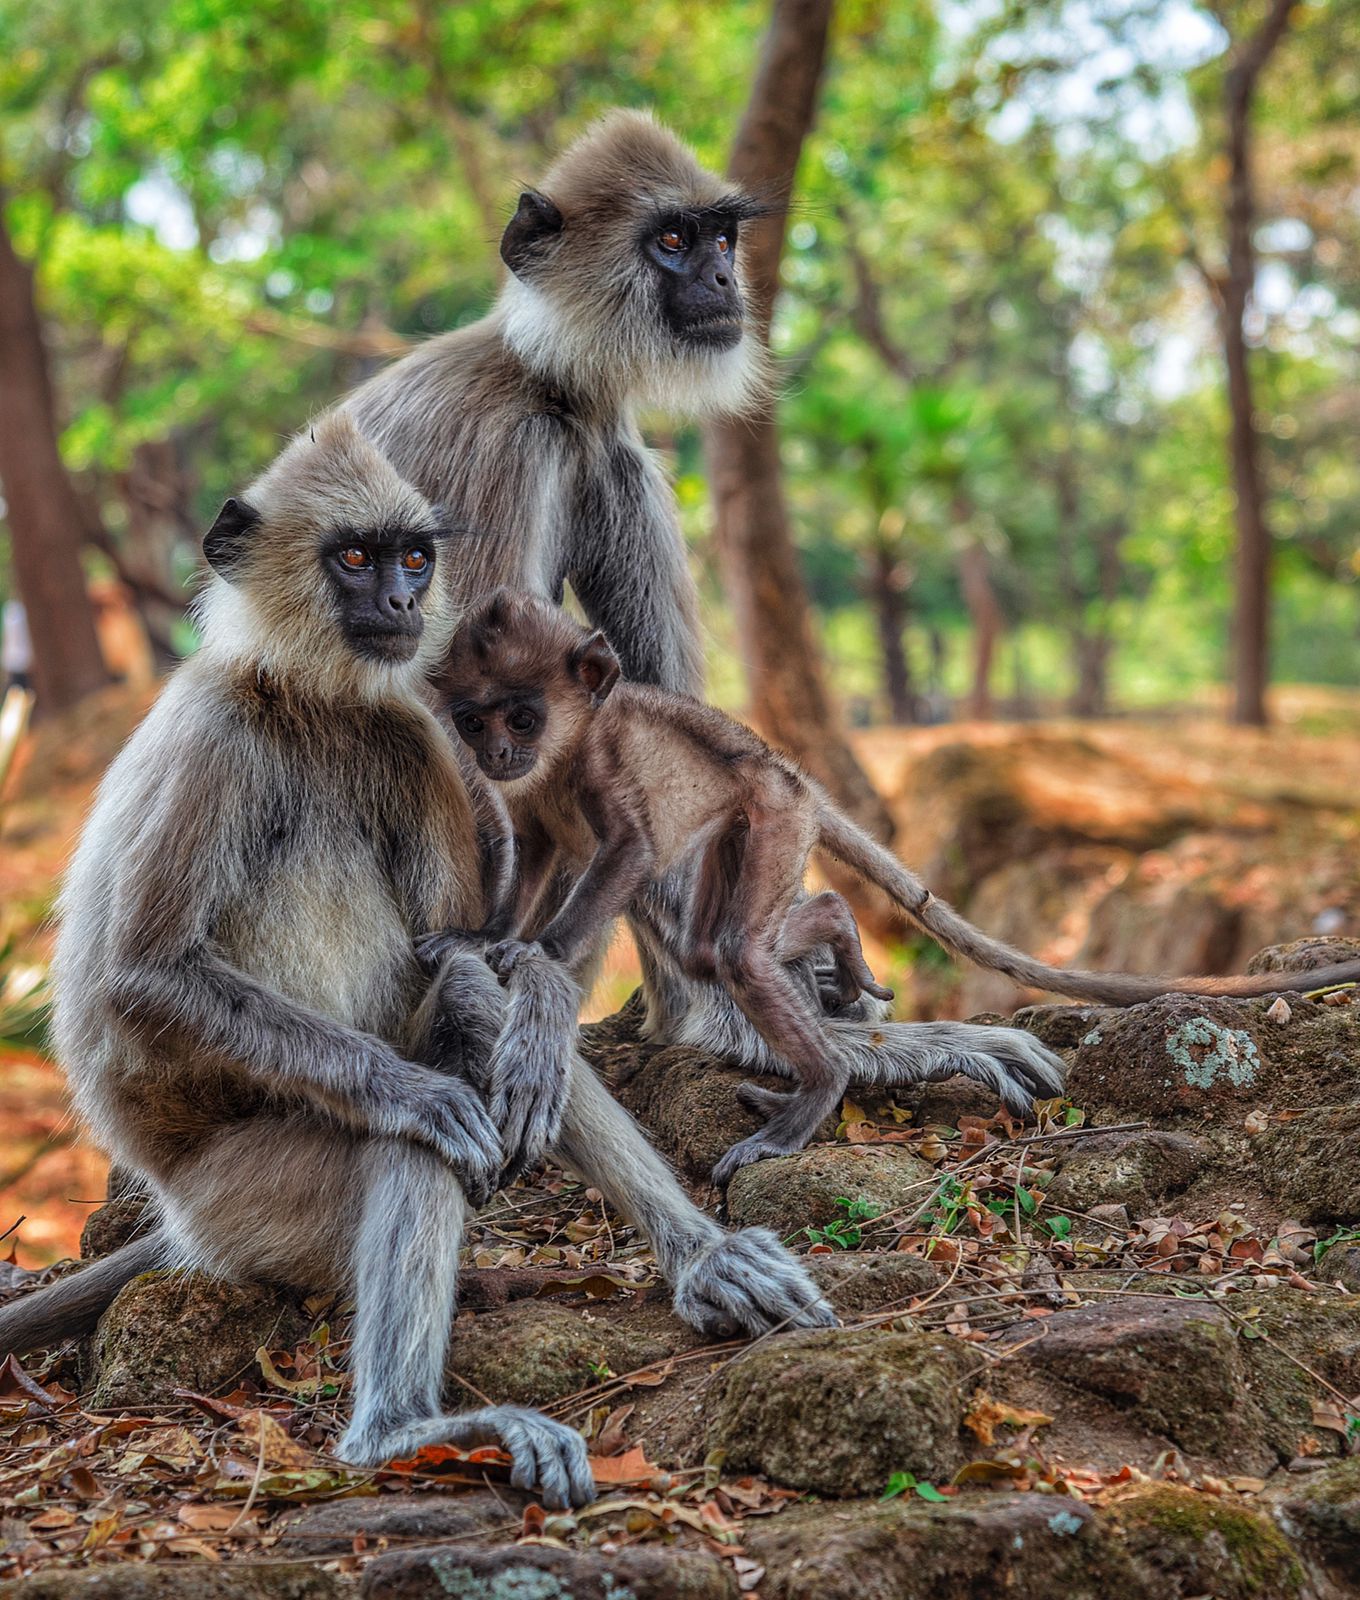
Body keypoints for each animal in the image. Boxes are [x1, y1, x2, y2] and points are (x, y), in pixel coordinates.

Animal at [0, 416, 825, 1510]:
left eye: (412, 558)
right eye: (355, 558)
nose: (399, 603)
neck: (310, 697)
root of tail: (179, 1223)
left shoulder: (406, 734)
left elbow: (466, 952)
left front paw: (508, 1003)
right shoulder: (217, 730)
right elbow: (145, 975)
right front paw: (430, 1093)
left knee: (490, 1041)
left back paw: (697, 1252)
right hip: (246, 1204)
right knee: (406, 1146)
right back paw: (398, 1431)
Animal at [328, 109, 1062, 1113]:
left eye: (720, 237)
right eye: (672, 241)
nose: (724, 280)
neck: (542, 375)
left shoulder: (604, 443)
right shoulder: (508, 447)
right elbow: (468, 715)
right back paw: (732, 1027)